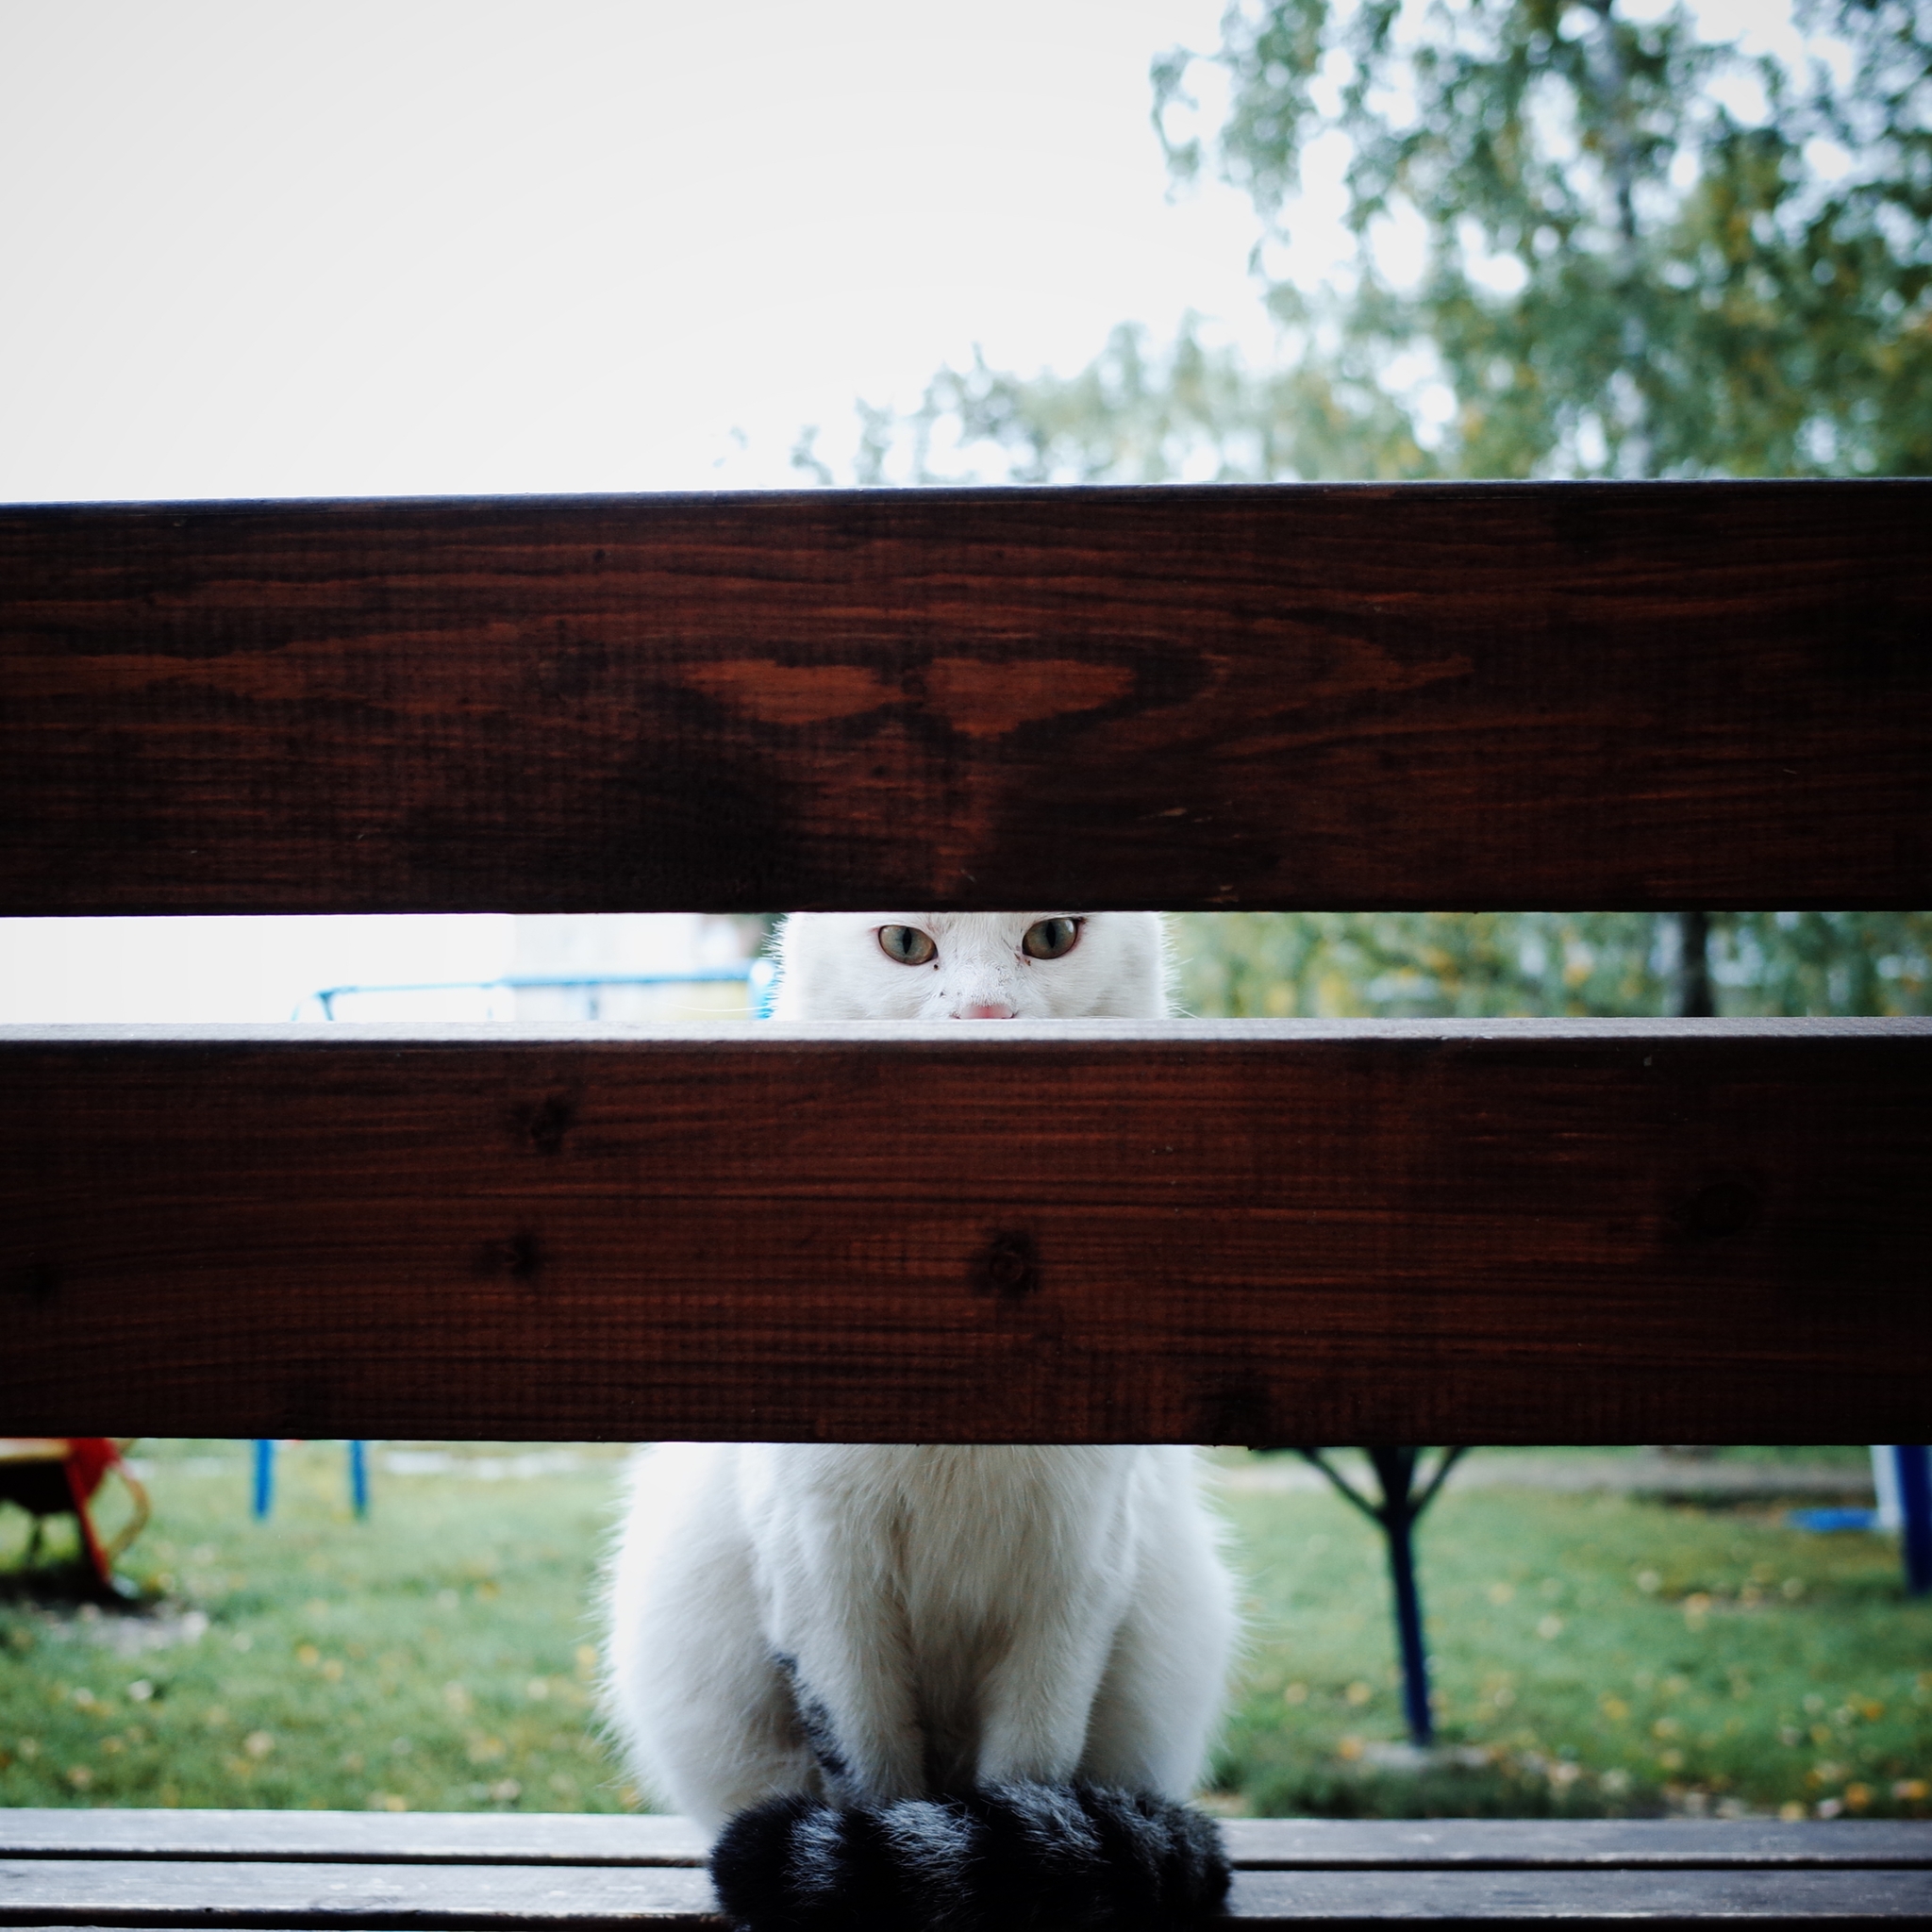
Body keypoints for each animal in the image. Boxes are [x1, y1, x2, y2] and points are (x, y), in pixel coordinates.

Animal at [602, 915, 1236, 1932]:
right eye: (905, 943)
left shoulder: (1074, 1583)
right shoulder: (823, 1584)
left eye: (1051, 936)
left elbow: (1027, 1776)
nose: (983, 1016)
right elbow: (871, 1773)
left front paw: (1006, 1863)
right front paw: (892, 1873)